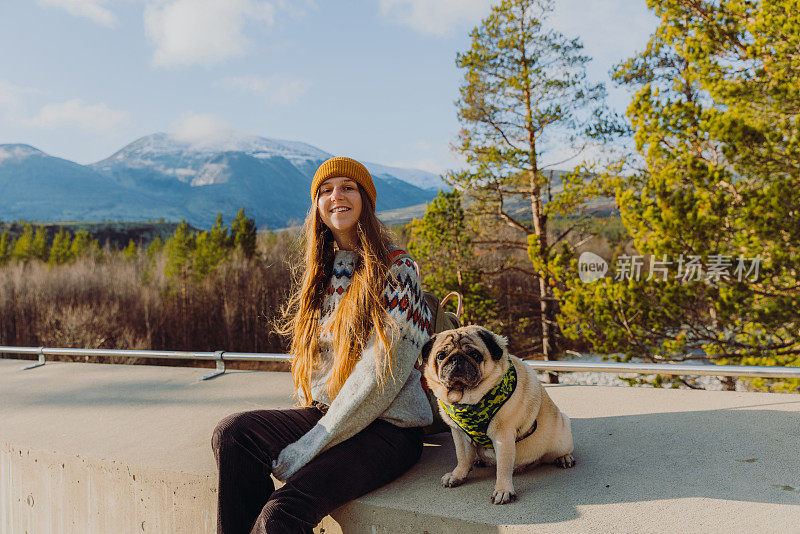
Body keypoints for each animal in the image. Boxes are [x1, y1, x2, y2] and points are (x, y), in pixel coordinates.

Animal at [418, 326, 576, 506]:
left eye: (475, 355)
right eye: (440, 356)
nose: (457, 359)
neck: (466, 400)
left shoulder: (503, 435)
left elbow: (503, 466)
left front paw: (503, 490)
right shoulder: (458, 433)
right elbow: (462, 457)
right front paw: (457, 475)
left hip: (562, 433)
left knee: (560, 450)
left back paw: (564, 458)